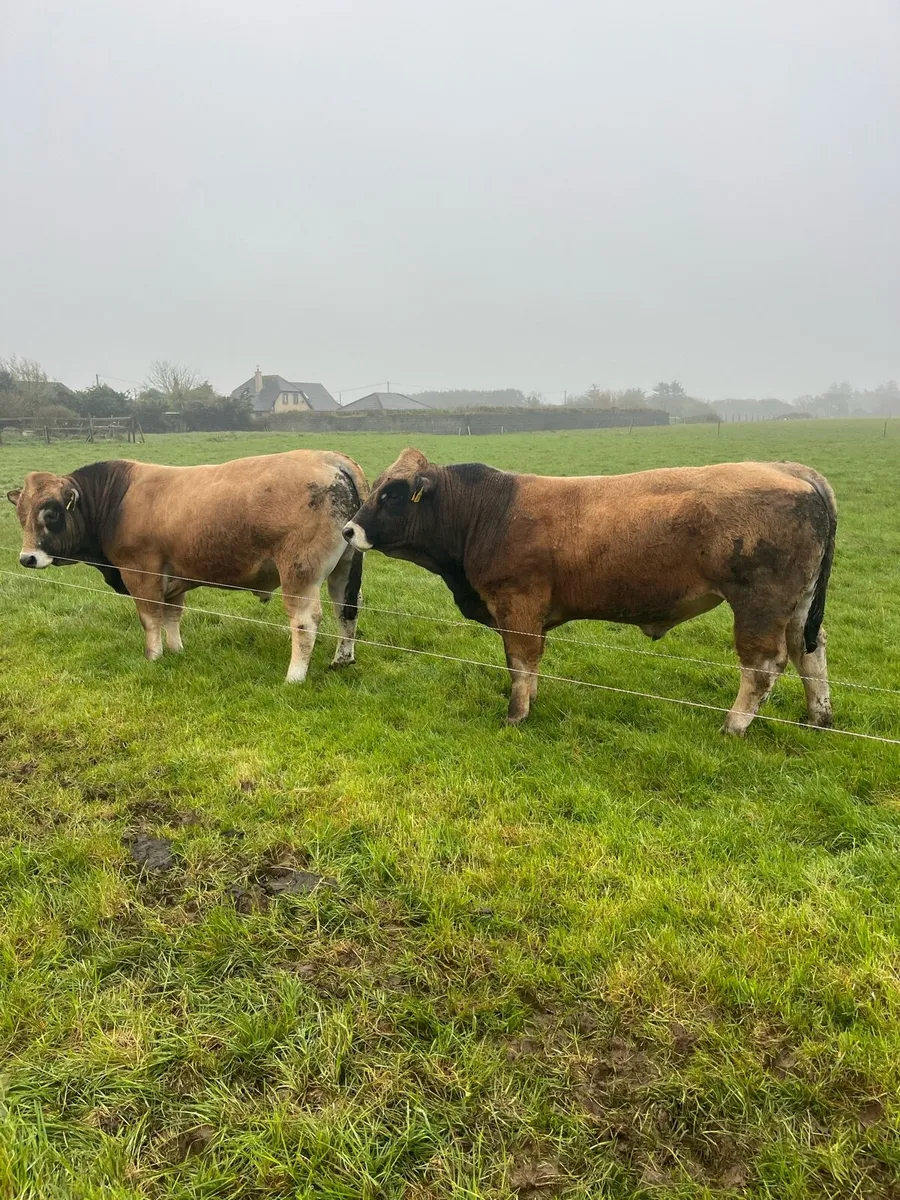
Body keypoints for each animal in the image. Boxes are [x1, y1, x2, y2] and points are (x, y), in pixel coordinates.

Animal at [8, 450, 367, 682]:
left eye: (51, 513)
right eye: (21, 514)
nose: (27, 558)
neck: (115, 500)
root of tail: (329, 458)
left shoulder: (141, 574)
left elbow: (150, 618)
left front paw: (153, 657)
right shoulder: (174, 579)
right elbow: (172, 616)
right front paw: (176, 651)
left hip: (299, 572)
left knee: (306, 622)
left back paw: (294, 676)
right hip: (344, 569)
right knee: (347, 609)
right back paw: (342, 660)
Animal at [343, 448, 837, 734]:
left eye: (391, 494)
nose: (348, 529)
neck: (487, 511)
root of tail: (790, 470)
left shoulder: (517, 604)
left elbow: (520, 661)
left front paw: (516, 714)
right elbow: (530, 665)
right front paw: (530, 701)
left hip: (759, 604)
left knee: (763, 666)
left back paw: (734, 725)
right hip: (797, 607)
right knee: (809, 653)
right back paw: (819, 717)